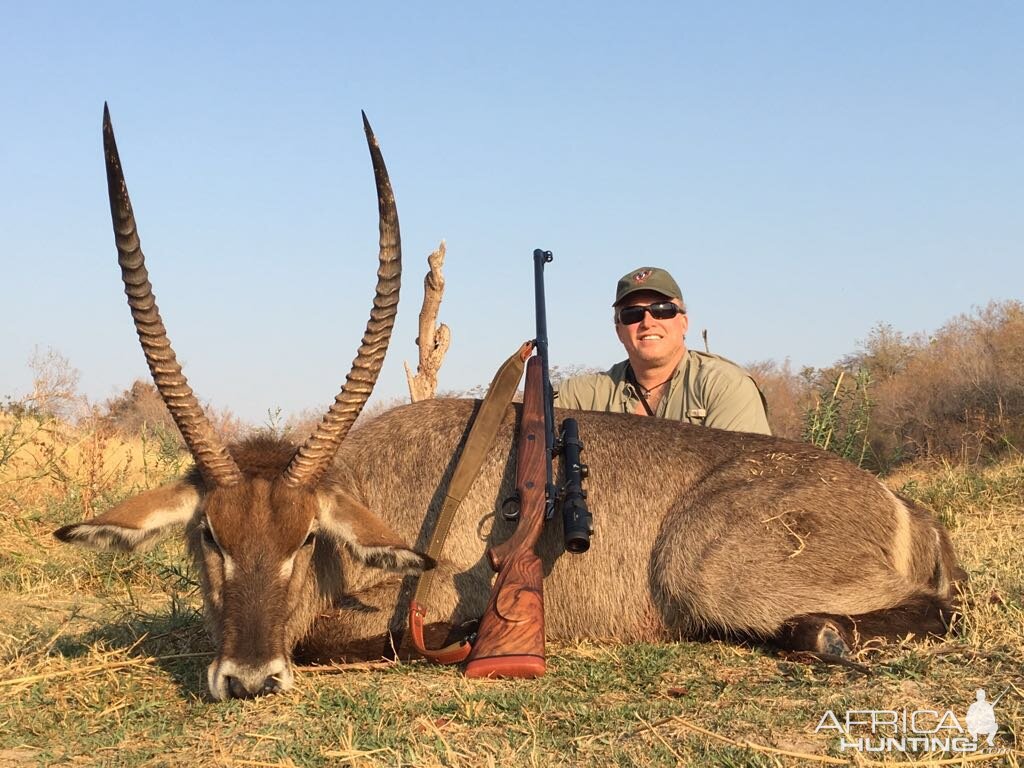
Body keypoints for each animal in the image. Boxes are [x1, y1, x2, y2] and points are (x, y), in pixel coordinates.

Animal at [58, 105, 966, 700]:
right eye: (209, 536)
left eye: (304, 536)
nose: (248, 678)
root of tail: (906, 506)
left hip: (706, 571)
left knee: (932, 611)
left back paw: (825, 631)